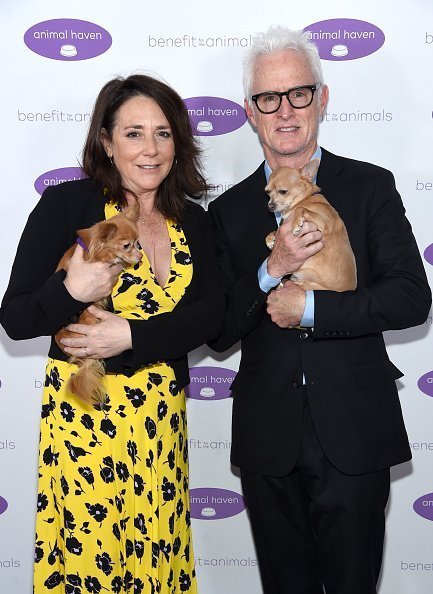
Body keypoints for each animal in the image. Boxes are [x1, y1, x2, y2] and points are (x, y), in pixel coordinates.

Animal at [264, 158, 356, 290]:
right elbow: (274, 232)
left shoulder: (324, 223)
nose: (270, 206)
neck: (304, 200)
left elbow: (301, 209)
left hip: (314, 285)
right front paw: (270, 240)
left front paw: (296, 224)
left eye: (283, 191)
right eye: (267, 192)